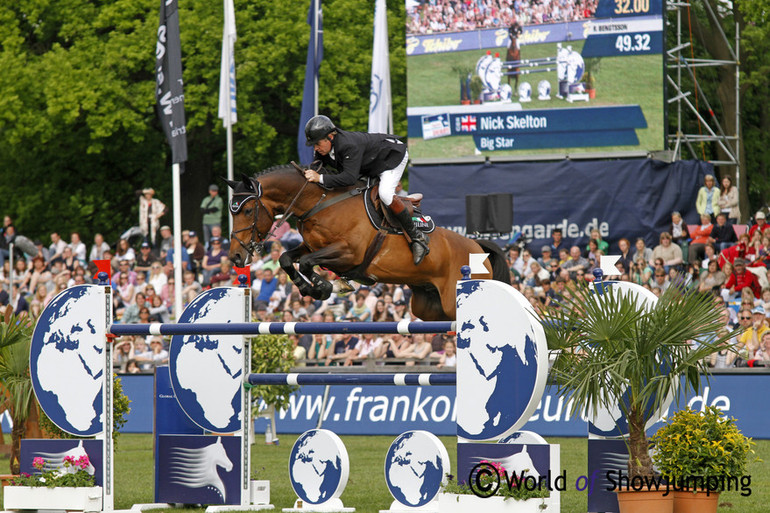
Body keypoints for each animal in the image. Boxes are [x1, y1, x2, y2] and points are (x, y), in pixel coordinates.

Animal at [224, 166, 510, 320]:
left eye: (247, 211)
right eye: (231, 211)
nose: (236, 257)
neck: (320, 203)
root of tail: (477, 246)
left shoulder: (349, 253)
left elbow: (305, 263)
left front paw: (323, 287)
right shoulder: (315, 247)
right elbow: (287, 258)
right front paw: (311, 288)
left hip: (453, 300)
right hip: (428, 306)